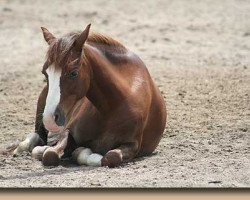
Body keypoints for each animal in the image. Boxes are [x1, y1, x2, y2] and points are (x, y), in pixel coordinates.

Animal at [12, 23, 167, 167]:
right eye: (45, 73)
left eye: (73, 73)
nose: (50, 118)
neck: (112, 107)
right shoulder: (68, 131)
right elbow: (50, 155)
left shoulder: (132, 145)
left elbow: (110, 157)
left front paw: (79, 152)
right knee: (38, 135)